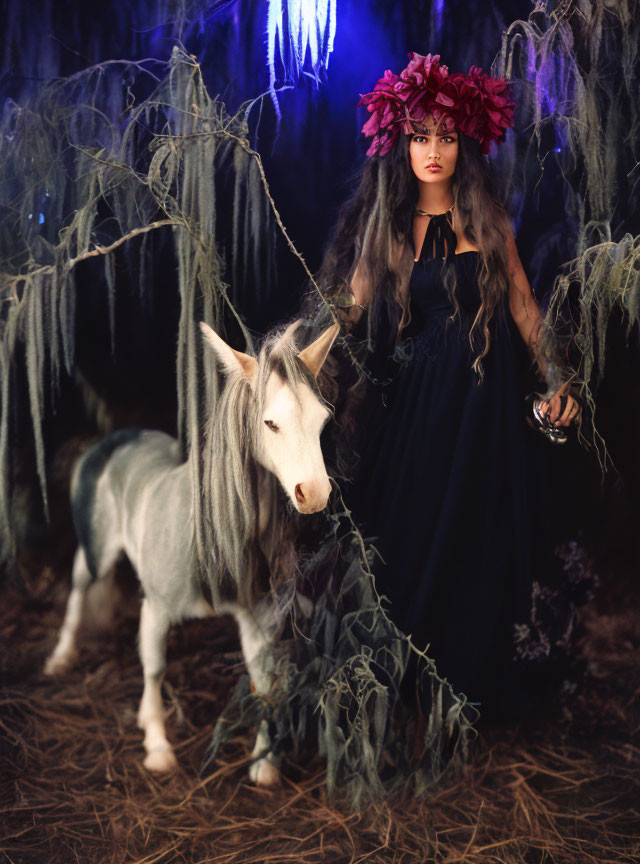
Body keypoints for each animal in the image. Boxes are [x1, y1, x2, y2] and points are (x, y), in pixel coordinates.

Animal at [45, 320, 340, 788]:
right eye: (270, 422)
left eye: (321, 419)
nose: (313, 494)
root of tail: (116, 438)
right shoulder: (156, 608)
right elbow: (153, 667)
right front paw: (157, 747)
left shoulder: (256, 617)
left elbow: (263, 681)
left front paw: (264, 764)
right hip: (99, 548)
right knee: (80, 581)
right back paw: (60, 658)